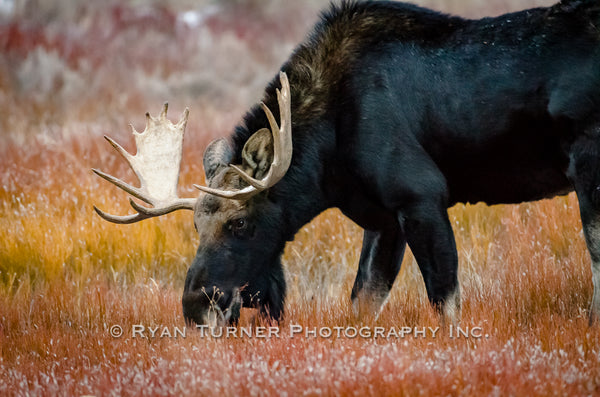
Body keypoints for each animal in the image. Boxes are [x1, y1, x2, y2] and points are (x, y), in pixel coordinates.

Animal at [94, 0, 600, 324]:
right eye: (196, 224)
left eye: (240, 224)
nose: (196, 307)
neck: (328, 161)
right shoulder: (384, 219)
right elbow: (363, 303)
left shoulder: (421, 197)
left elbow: (446, 303)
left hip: (589, 163)